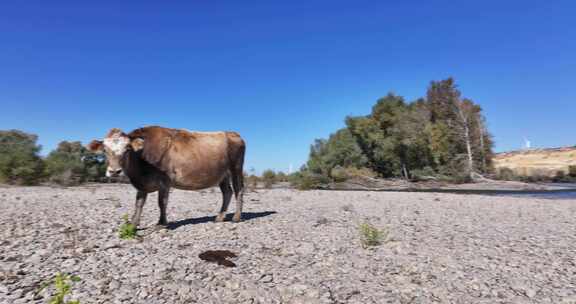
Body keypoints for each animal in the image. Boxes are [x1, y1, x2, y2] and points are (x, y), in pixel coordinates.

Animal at [88, 124, 245, 227]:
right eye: (104, 149)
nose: (114, 171)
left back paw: (236, 217)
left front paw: (162, 223)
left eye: (127, 149)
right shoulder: (142, 184)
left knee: (239, 190)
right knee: (227, 192)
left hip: (236, 168)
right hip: (222, 174)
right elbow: (139, 203)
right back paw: (220, 217)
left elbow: (162, 202)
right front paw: (133, 224)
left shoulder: (165, 181)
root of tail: (233, 133)